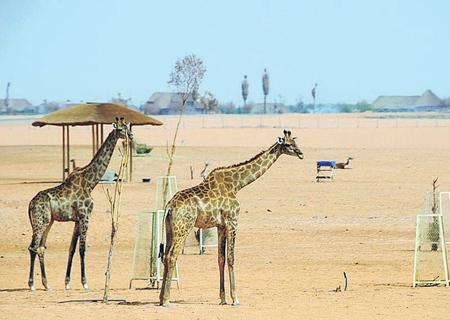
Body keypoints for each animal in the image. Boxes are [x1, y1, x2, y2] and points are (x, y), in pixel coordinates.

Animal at [27, 117, 132, 290]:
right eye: (120, 129)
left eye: (128, 127)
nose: (131, 135)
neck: (90, 182)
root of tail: (29, 205)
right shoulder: (85, 216)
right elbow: (82, 249)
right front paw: (85, 283)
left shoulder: (77, 220)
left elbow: (72, 249)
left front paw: (67, 283)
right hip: (40, 222)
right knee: (33, 247)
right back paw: (32, 285)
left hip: (48, 222)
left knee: (40, 248)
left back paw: (47, 285)